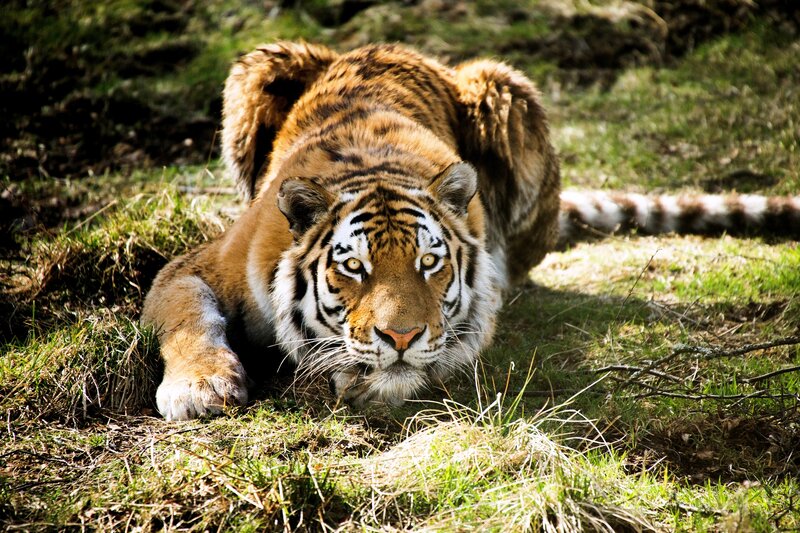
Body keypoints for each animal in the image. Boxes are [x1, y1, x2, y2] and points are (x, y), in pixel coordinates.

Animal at [141, 42, 800, 421]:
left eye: (429, 264)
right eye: (353, 267)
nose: (400, 337)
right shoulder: (195, 265)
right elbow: (188, 317)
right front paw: (200, 387)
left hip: (506, 90)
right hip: (259, 65)